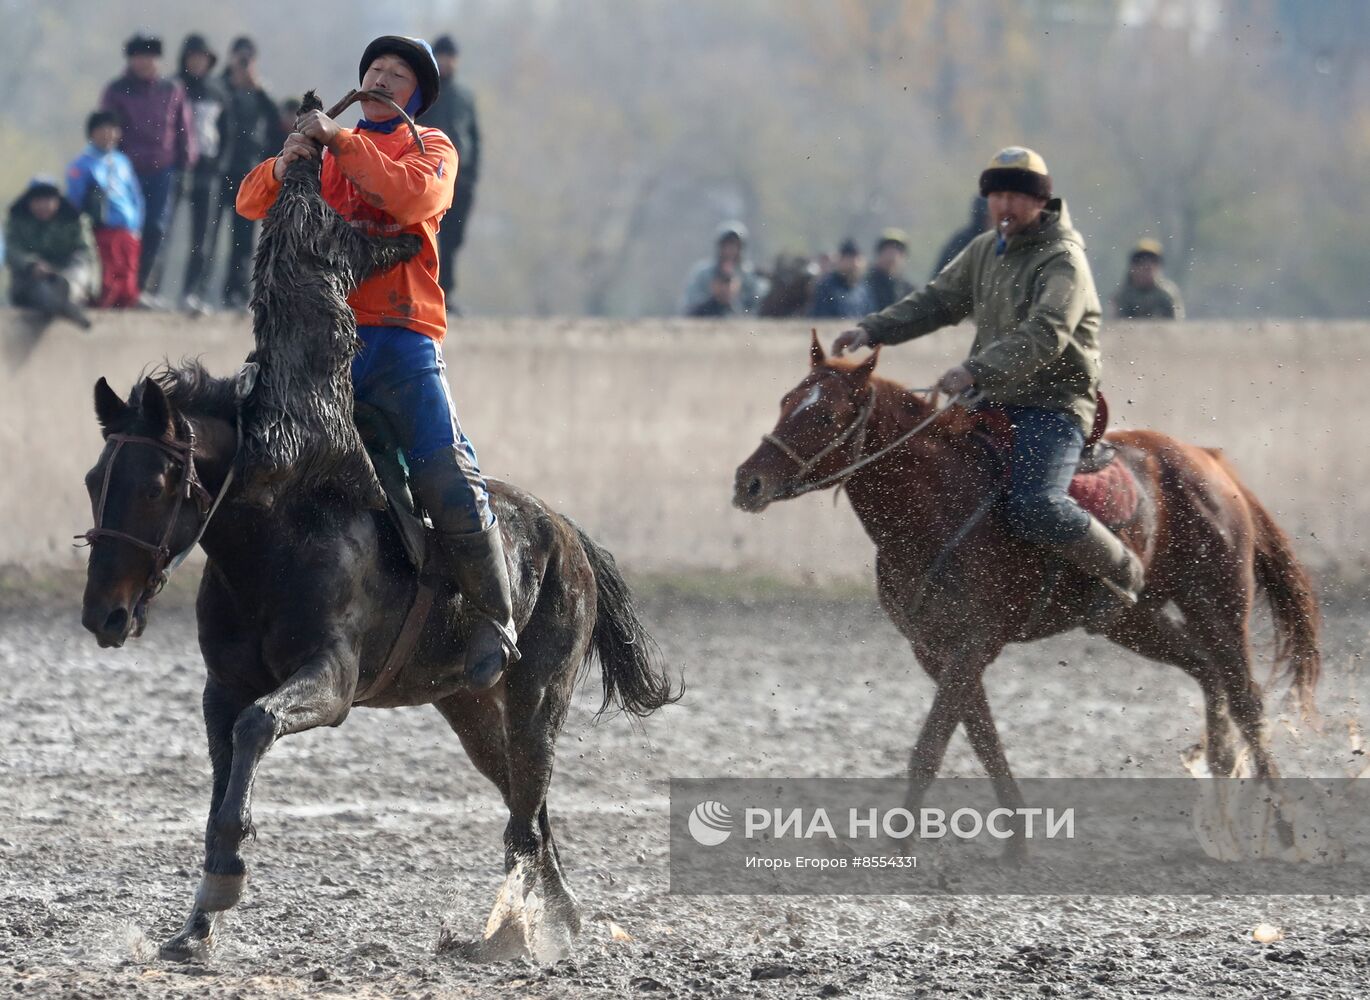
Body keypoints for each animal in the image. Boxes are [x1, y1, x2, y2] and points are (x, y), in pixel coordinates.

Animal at [734, 335, 1320, 849]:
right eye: (786, 402)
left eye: (824, 416)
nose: (748, 482)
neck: (938, 505)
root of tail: (1210, 462)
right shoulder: (933, 648)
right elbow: (982, 739)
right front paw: (1016, 843)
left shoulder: (973, 642)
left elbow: (931, 746)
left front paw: (898, 846)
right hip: (1131, 620)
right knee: (1205, 670)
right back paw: (1222, 809)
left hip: (1218, 604)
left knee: (1247, 701)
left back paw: (1285, 829)